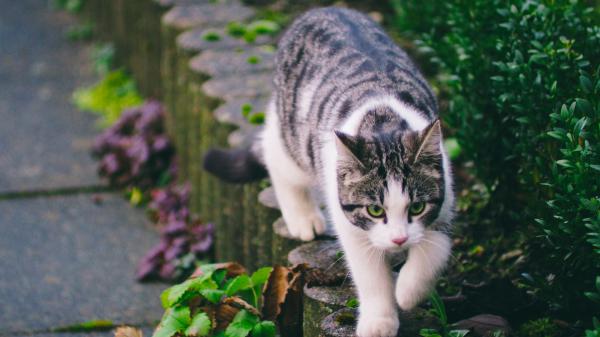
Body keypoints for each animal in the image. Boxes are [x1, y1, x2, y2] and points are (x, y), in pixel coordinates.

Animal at [204, 7, 452, 336]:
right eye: (375, 210)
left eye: (417, 207)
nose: (399, 240)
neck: (383, 122)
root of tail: (321, 10)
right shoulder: (351, 224)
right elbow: (369, 272)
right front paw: (379, 320)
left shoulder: (445, 201)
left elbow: (435, 248)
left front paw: (409, 290)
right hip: (295, 137)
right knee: (274, 153)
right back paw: (302, 217)